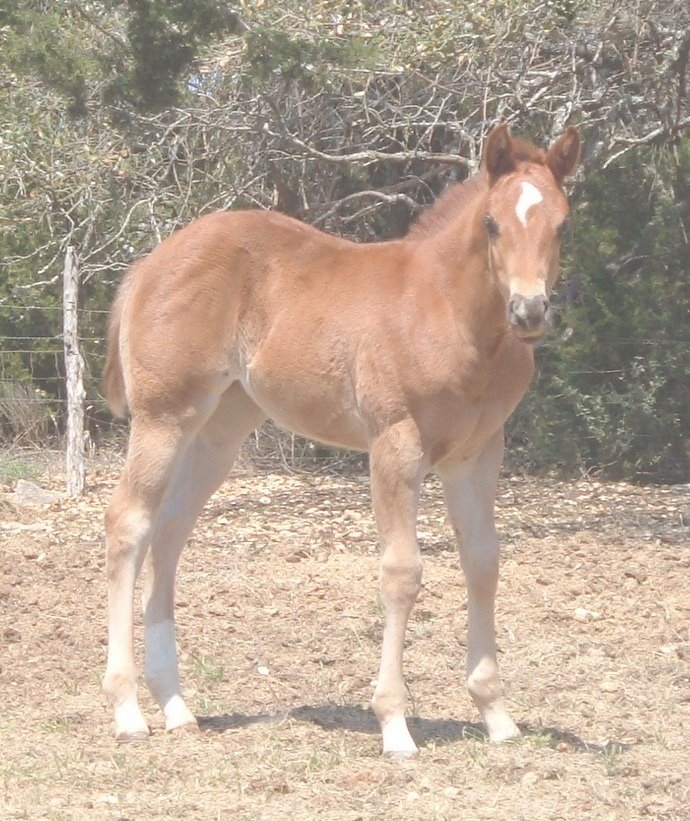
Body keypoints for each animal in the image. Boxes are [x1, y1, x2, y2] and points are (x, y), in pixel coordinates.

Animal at [102, 122, 580, 756]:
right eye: (491, 223)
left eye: (562, 224)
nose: (529, 310)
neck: (448, 311)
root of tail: (148, 264)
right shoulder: (395, 443)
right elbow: (402, 572)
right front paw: (394, 724)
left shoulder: (476, 453)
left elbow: (483, 563)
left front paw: (496, 714)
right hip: (163, 416)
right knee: (129, 524)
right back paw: (128, 709)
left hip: (219, 430)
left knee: (170, 531)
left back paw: (177, 707)